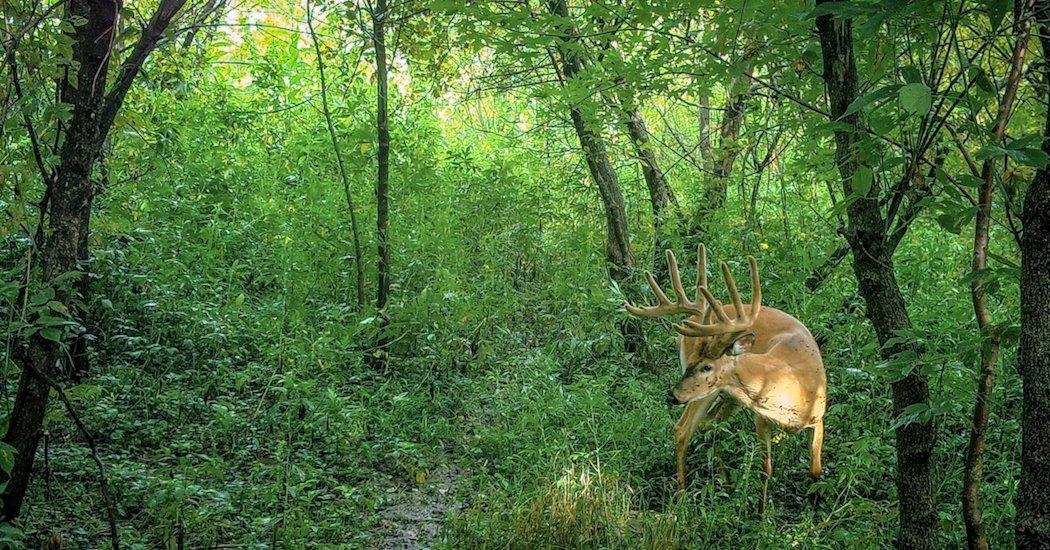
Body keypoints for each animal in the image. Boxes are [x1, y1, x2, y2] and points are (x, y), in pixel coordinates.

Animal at [624, 245, 826, 515]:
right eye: (692, 363)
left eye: (707, 366)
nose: (673, 395)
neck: (796, 384)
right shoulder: (761, 417)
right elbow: (765, 469)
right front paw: (761, 516)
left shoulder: (819, 418)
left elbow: (815, 470)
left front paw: (815, 509)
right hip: (709, 394)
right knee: (683, 429)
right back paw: (682, 497)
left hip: (728, 397)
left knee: (710, 425)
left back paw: (725, 483)